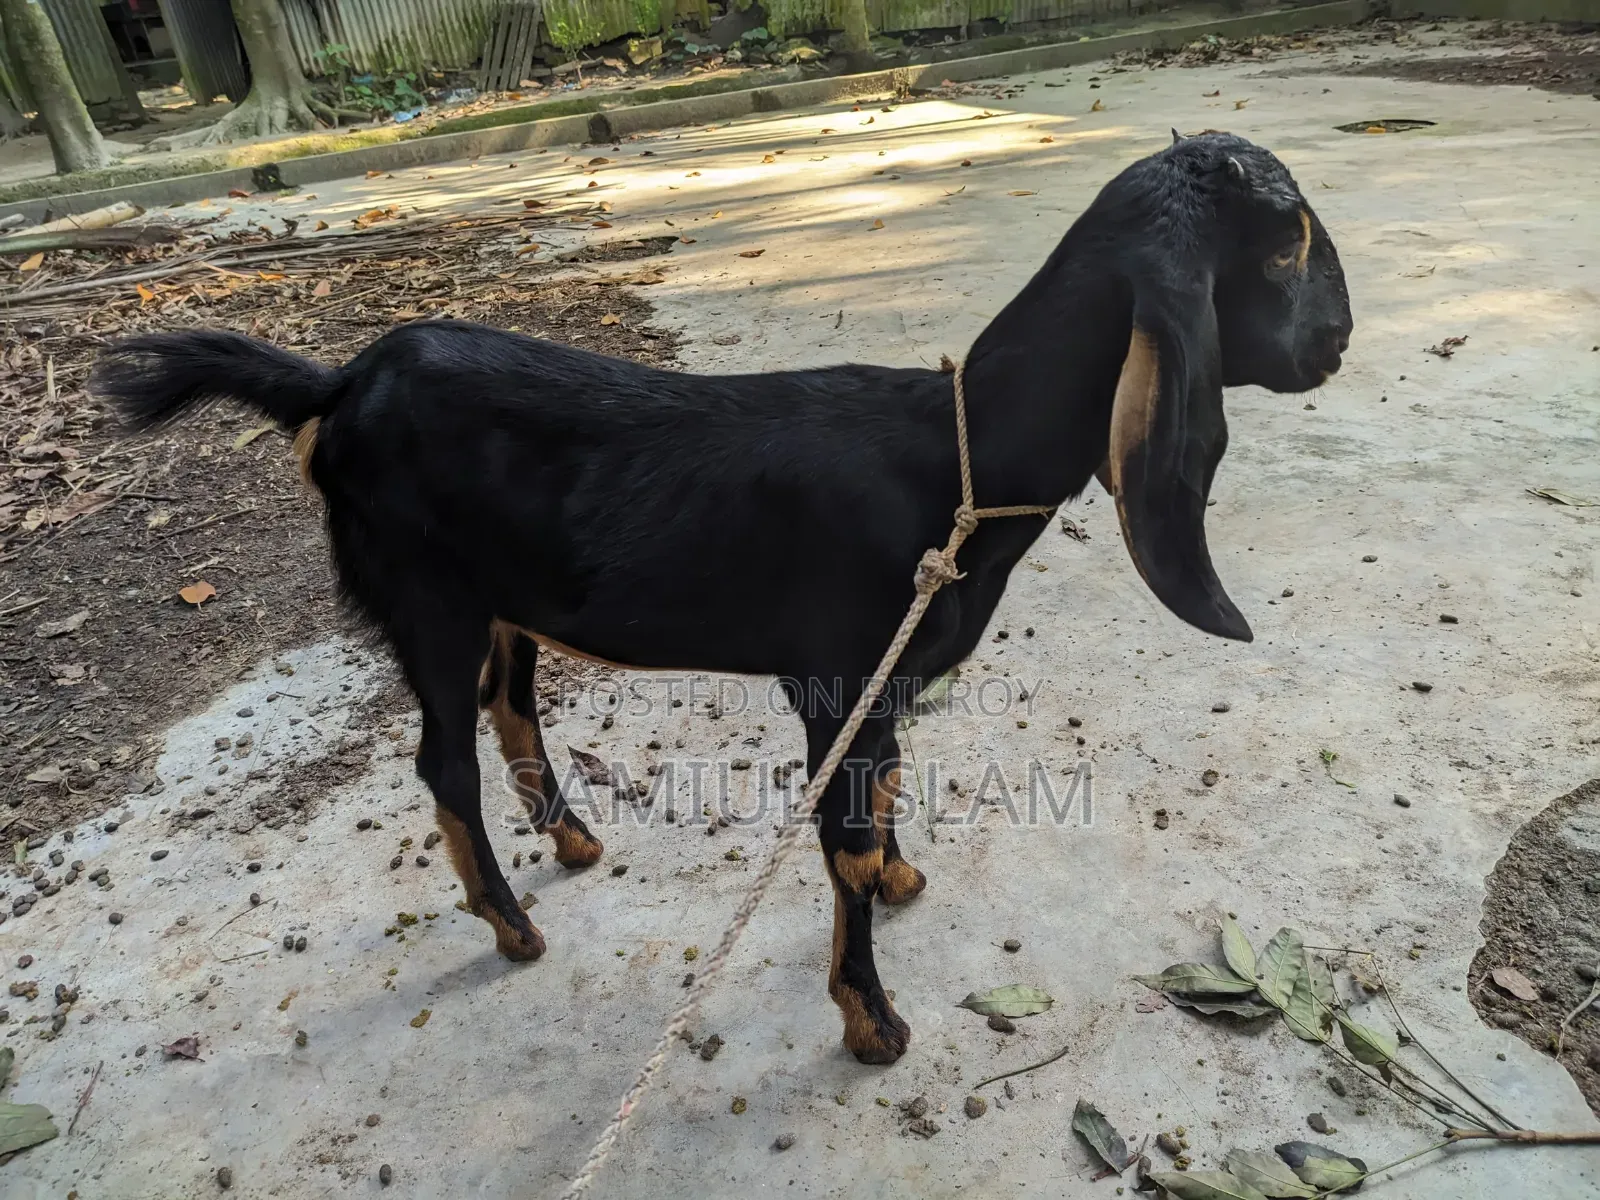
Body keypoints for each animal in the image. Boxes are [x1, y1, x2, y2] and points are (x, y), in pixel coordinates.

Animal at [91, 132, 1352, 1065]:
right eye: (1280, 254)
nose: (1336, 346)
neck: (956, 460)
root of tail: (339, 383)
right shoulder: (835, 677)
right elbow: (842, 846)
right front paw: (872, 1023)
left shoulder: (879, 686)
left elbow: (880, 805)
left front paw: (901, 879)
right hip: (425, 600)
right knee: (443, 757)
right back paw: (513, 926)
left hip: (505, 597)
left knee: (511, 705)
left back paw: (574, 840)